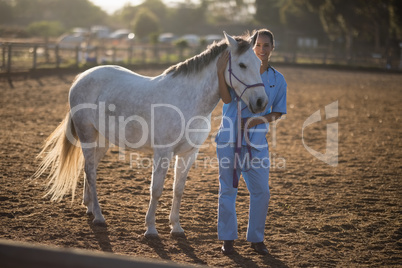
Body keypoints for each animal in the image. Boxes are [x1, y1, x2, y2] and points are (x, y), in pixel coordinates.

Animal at [33, 33, 266, 237]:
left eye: (258, 63)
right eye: (242, 65)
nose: (261, 102)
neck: (188, 101)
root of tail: (81, 77)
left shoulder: (188, 154)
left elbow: (178, 190)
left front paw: (176, 227)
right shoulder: (163, 153)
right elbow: (156, 189)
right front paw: (151, 229)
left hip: (103, 140)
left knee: (88, 168)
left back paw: (89, 207)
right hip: (87, 135)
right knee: (90, 171)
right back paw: (99, 216)